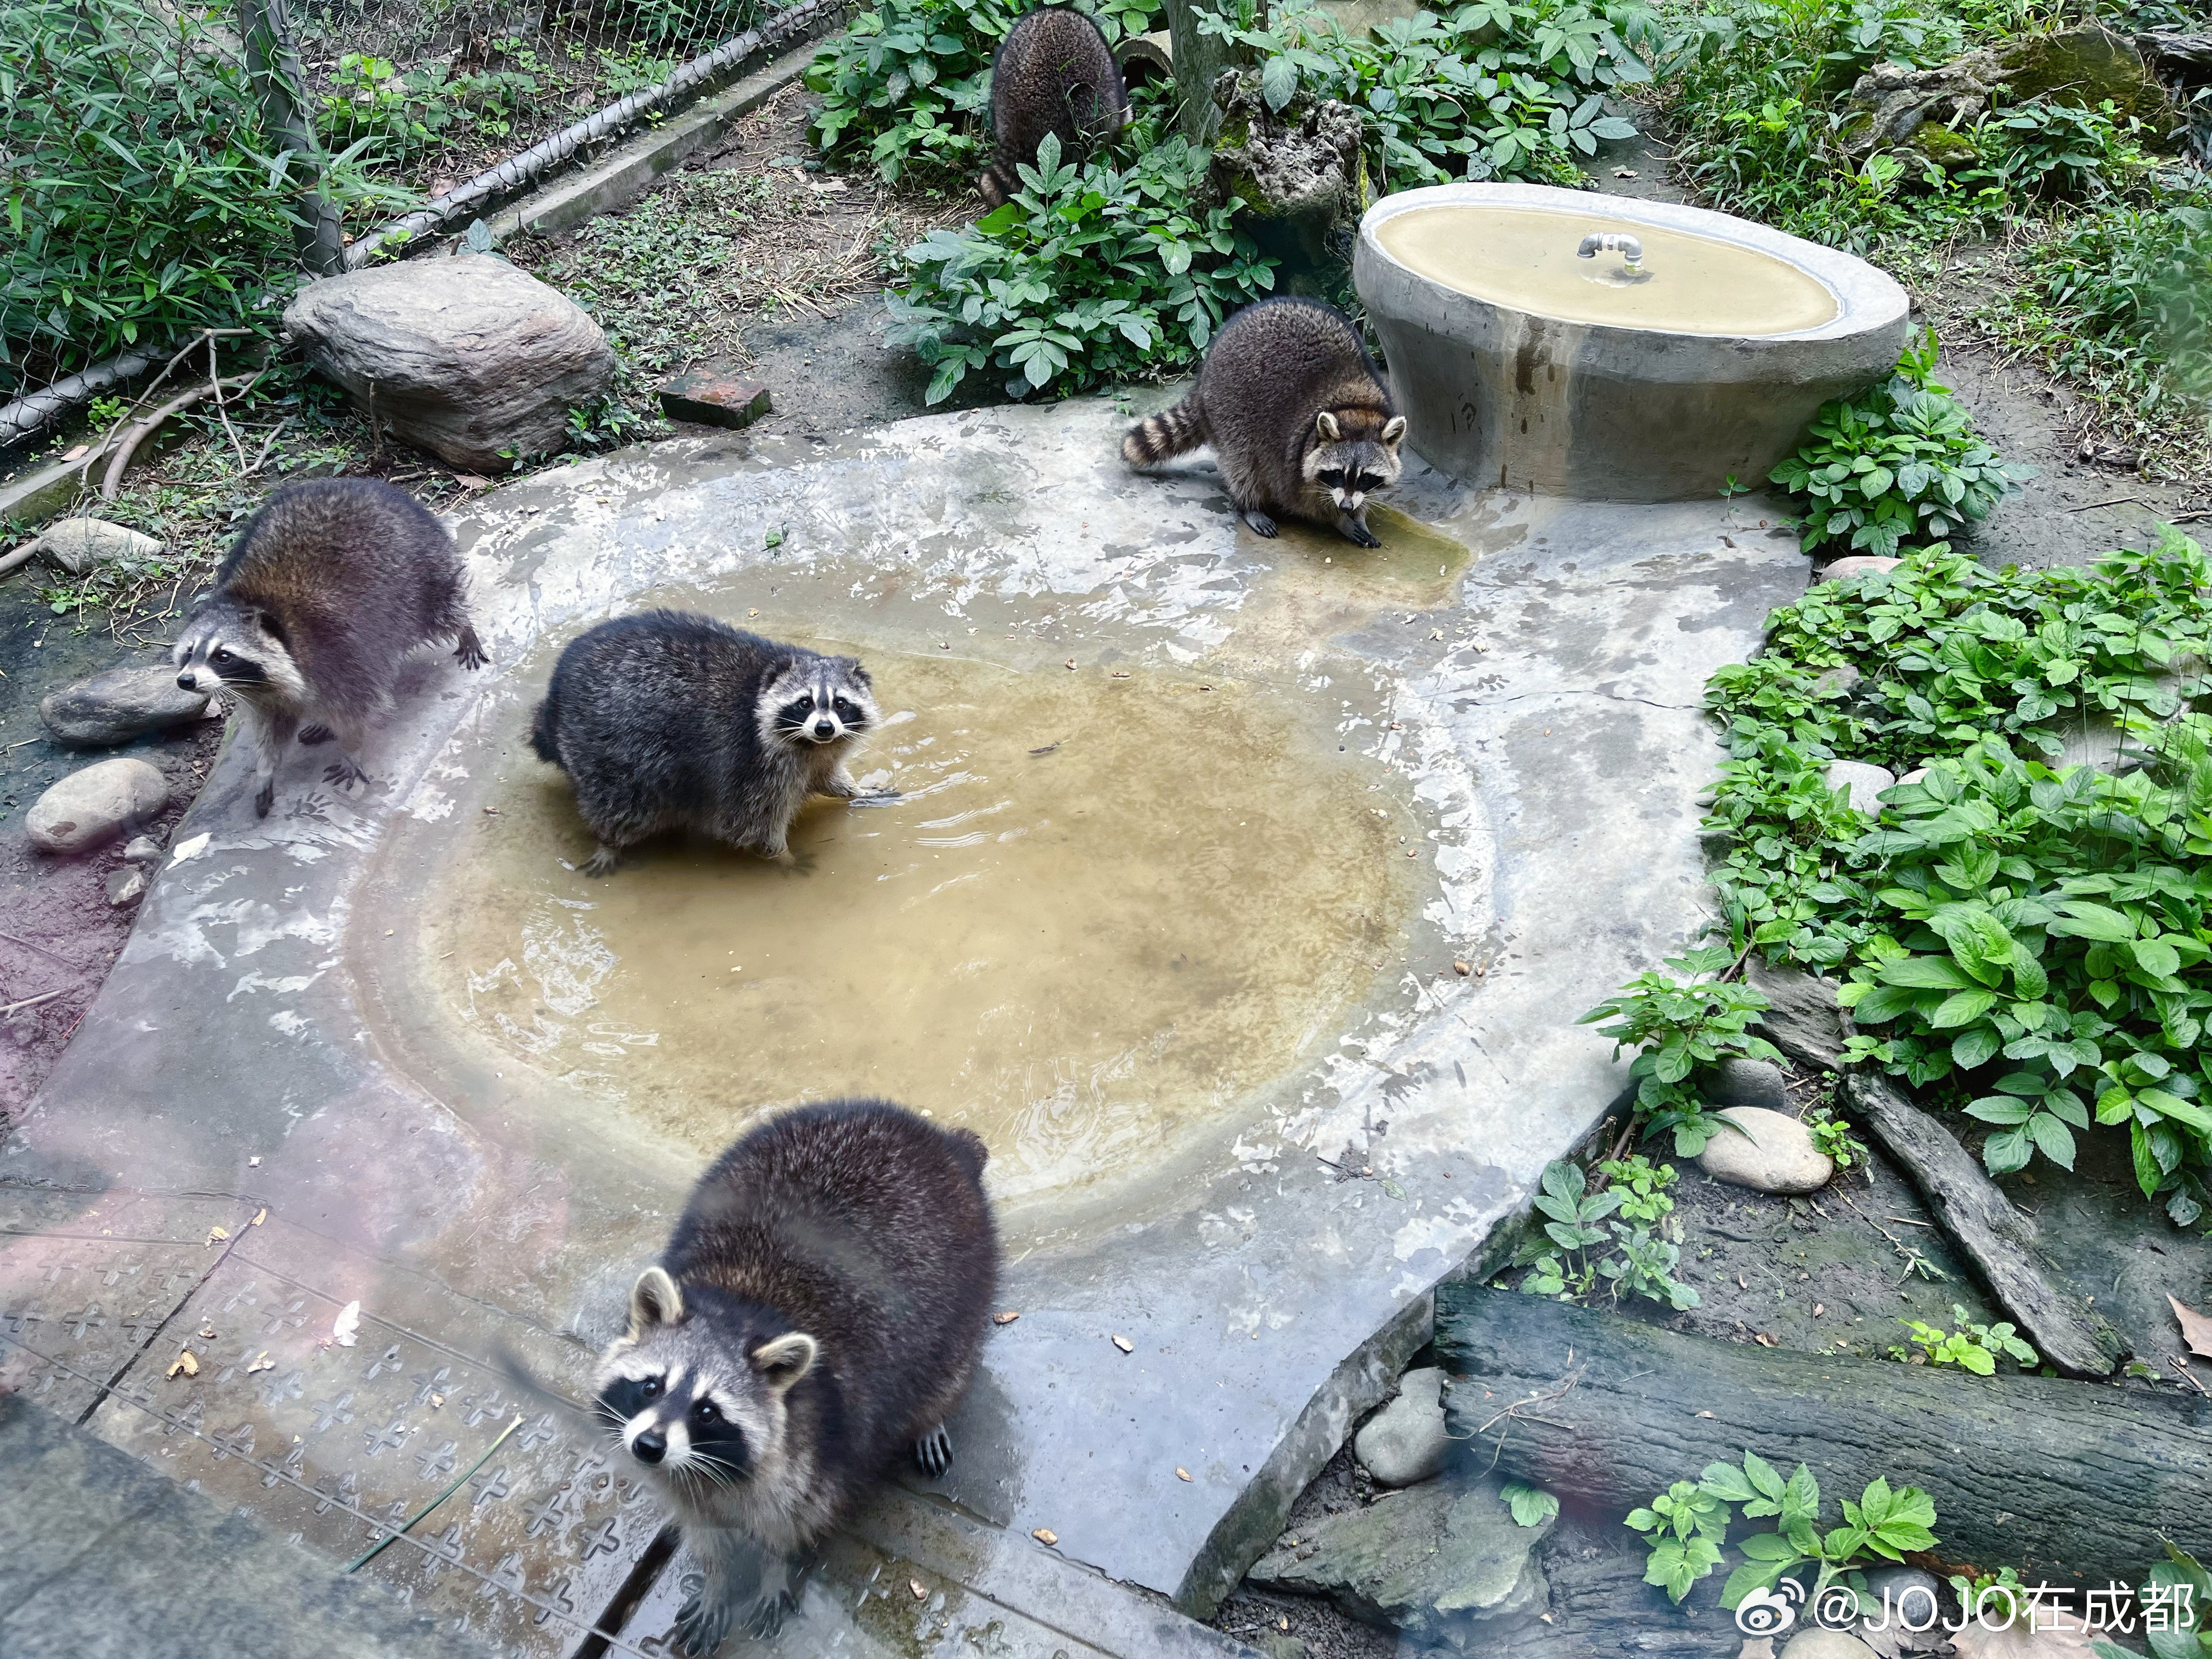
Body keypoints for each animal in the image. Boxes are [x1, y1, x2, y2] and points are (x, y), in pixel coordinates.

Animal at [173, 477, 489, 822]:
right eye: (189, 653)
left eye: (223, 656)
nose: (186, 681)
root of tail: (367, 484)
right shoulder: (268, 695)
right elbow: (273, 730)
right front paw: (266, 770)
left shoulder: (341, 656)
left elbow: (357, 712)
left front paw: (352, 751)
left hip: (422, 572)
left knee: (442, 609)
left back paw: (464, 629)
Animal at [526, 606, 880, 871]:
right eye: (805, 703)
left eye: (840, 704)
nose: (825, 728)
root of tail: (555, 698)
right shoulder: (749, 760)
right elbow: (750, 821)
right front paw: (781, 856)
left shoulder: (819, 755)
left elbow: (825, 777)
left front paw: (856, 792)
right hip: (604, 744)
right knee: (623, 803)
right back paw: (609, 842)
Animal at [592, 1097, 1000, 1654]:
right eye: (652, 1385)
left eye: (707, 1411)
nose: (649, 1447)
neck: (740, 1306)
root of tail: (938, 1140)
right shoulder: (678, 1479)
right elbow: (703, 1532)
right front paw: (716, 1580)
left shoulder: (820, 1445)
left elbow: (792, 1524)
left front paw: (774, 1570)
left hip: (966, 1292)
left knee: (946, 1373)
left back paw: (929, 1419)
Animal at [1124, 298, 1415, 553]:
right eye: (1336, 473)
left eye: (1366, 477)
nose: (1345, 507)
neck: (1356, 407)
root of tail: (1205, 375)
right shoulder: (1291, 458)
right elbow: (1302, 501)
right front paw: (1339, 520)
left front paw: (1359, 515)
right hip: (1229, 405)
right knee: (1242, 464)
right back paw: (1249, 505)